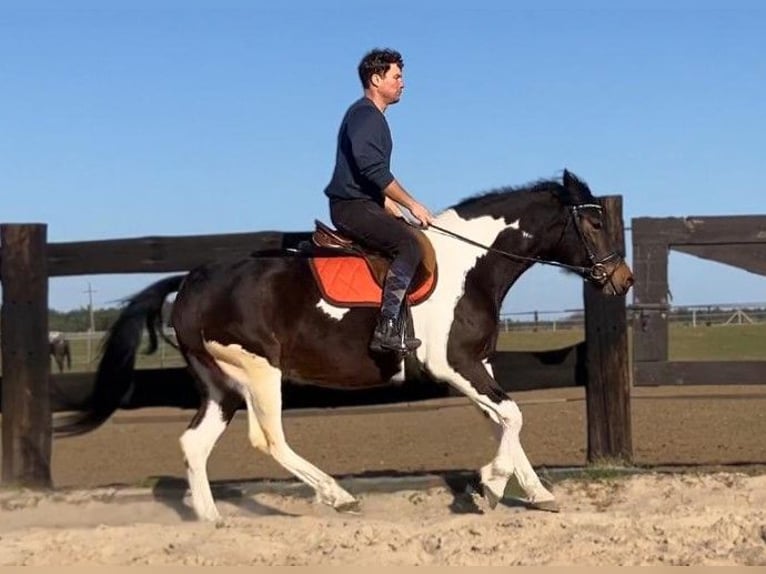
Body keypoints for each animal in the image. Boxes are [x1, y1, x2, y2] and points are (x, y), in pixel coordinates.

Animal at [55, 170, 633, 522]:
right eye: (595, 220)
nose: (622, 280)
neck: (471, 265)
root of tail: (192, 280)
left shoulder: (479, 365)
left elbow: (505, 421)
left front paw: (532, 492)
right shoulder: (455, 364)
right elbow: (512, 417)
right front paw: (488, 485)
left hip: (219, 385)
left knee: (194, 444)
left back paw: (213, 520)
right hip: (259, 372)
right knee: (269, 439)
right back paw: (338, 496)